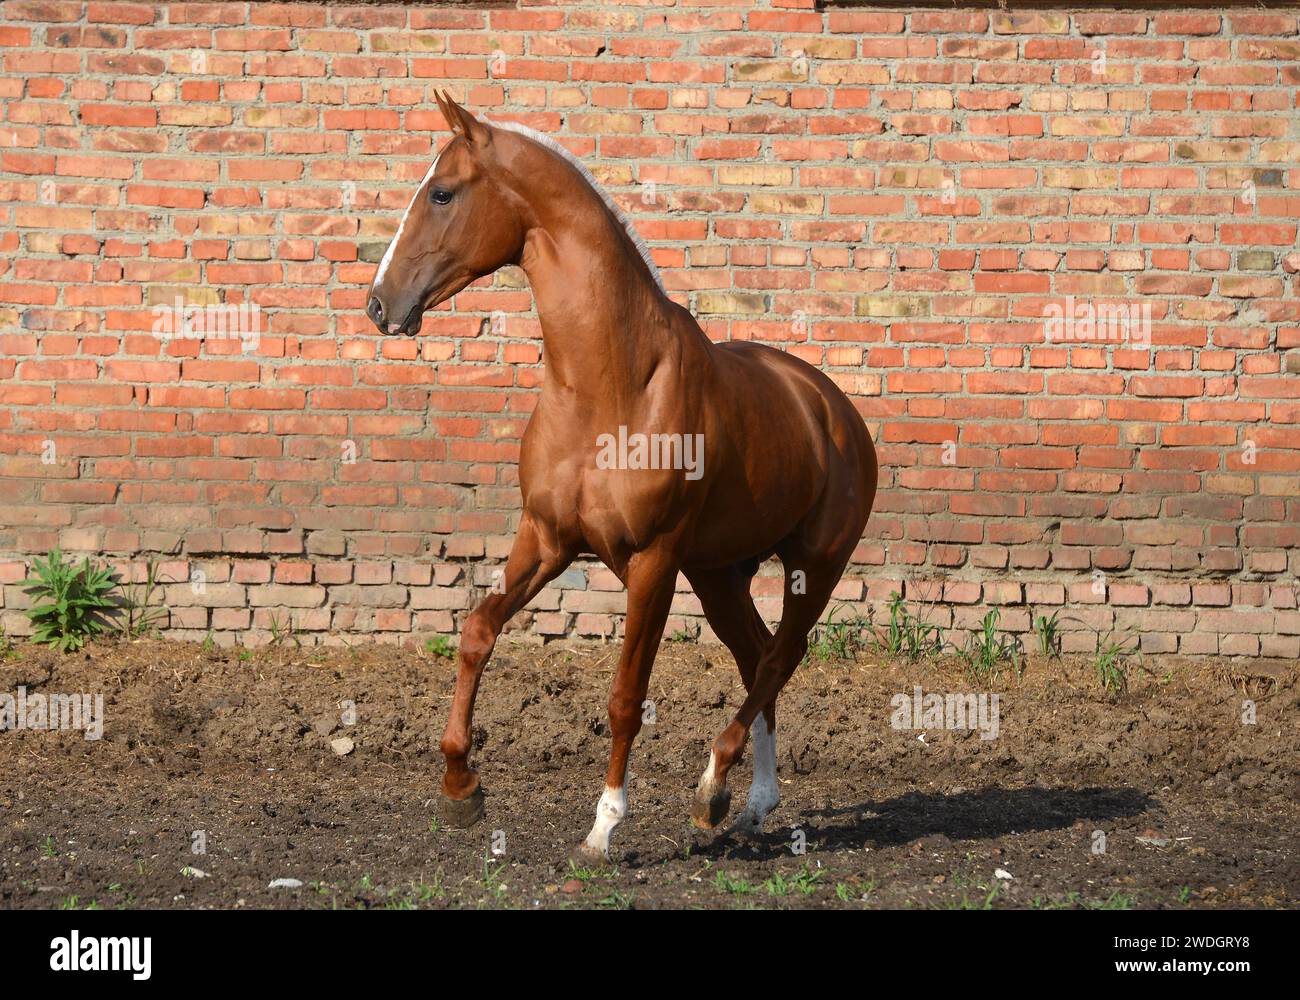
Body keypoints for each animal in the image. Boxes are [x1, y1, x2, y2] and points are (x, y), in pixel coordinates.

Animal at [365, 92, 878, 864]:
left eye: (442, 193)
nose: (379, 303)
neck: (610, 385)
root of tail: (834, 409)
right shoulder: (546, 539)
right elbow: (477, 631)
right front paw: (461, 789)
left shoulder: (651, 562)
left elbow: (625, 696)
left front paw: (604, 826)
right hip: (719, 573)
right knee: (757, 656)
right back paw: (751, 805)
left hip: (810, 568)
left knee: (779, 658)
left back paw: (712, 790)